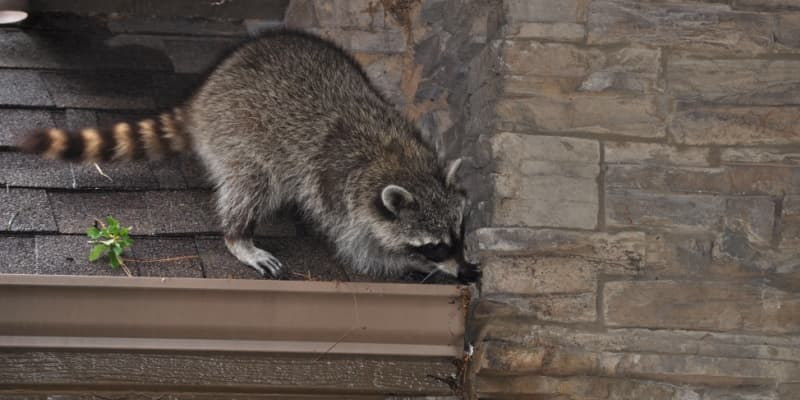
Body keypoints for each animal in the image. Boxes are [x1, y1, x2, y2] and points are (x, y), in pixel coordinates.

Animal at [18, 30, 479, 282]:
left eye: (458, 235)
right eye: (434, 246)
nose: (457, 265)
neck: (396, 158)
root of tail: (205, 95)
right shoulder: (340, 197)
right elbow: (360, 253)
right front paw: (411, 265)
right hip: (239, 135)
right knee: (252, 183)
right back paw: (239, 235)